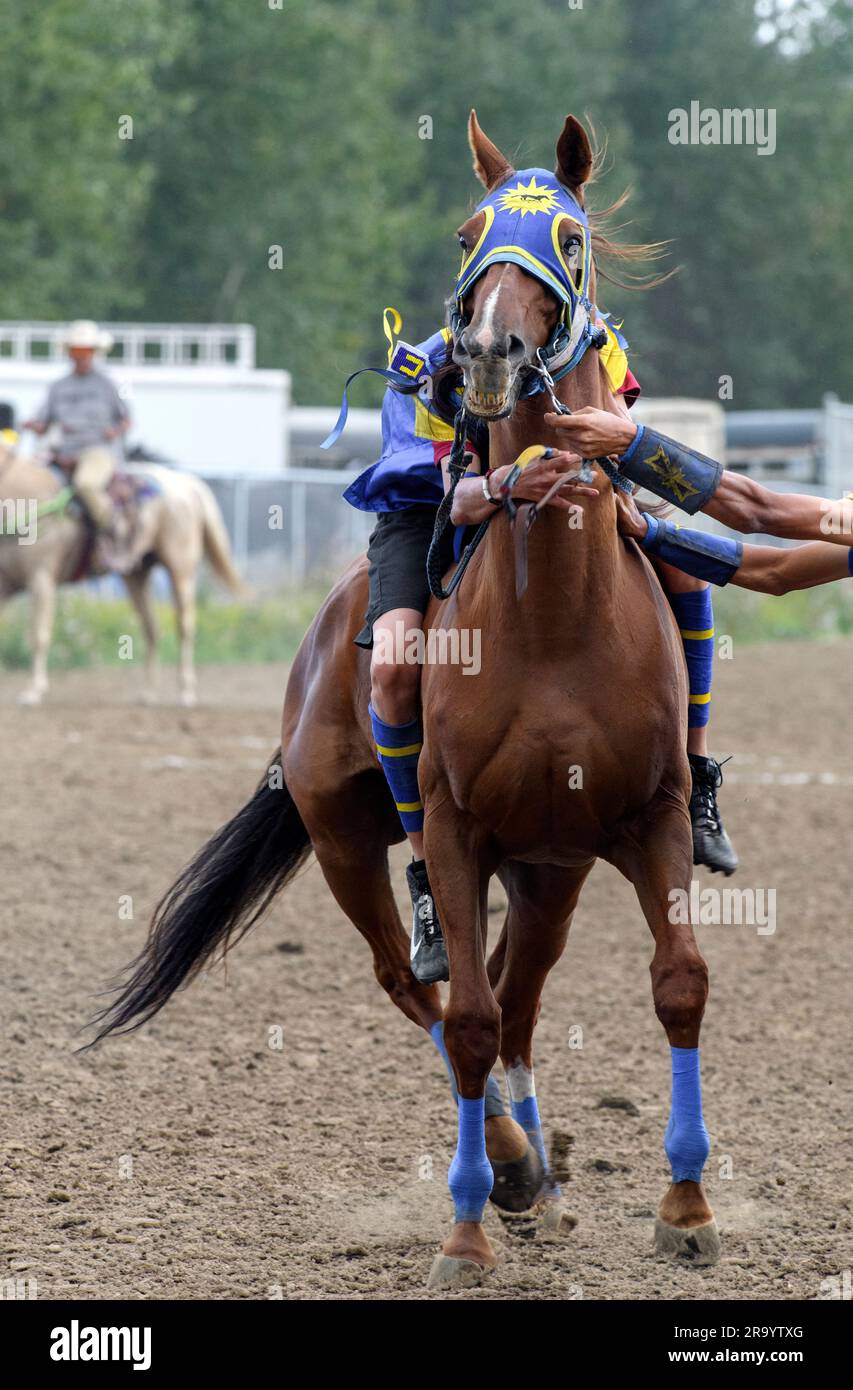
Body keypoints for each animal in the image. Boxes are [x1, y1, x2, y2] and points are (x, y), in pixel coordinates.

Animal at [0, 442, 242, 706]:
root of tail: (186, 483)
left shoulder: (41, 579)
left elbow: (38, 635)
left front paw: (33, 691)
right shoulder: (5, 587)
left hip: (181, 569)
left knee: (184, 626)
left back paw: (186, 692)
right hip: (136, 573)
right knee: (152, 629)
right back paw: (148, 692)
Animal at [90, 112, 719, 1290]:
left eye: (568, 236)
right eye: (472, 231)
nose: (487, 352)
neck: (555, 619)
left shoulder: (645, 815)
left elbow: (677, 982)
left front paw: (687, 1206)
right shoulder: (459, 829)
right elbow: (463, 1018)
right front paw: (467, 1228)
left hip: (553, 865)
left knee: (520, 992)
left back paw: (540, 1175)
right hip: (346, 836)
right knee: (416, 979)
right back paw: (511, 1165)